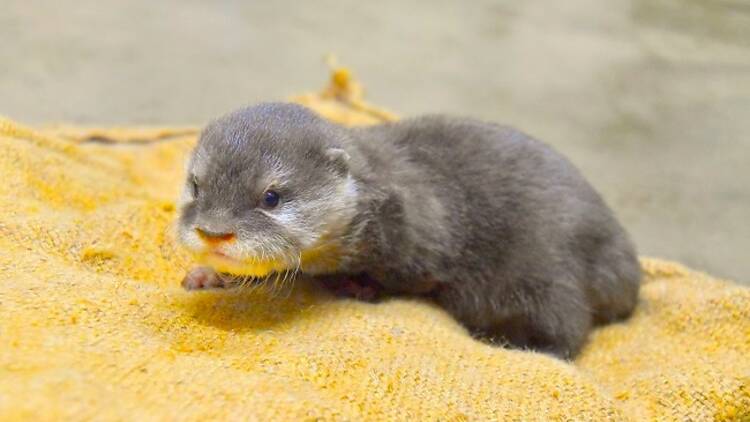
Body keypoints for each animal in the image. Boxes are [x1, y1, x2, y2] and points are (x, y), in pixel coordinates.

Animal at [176, 101, 640, 356]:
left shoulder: (425, 236)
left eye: (271, 197)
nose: (214, 233)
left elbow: (406, 278)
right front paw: (209, 274)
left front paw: (360, 287)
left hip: (545, 273)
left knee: (569, 333)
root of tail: (623, 262)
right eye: (197, 185)